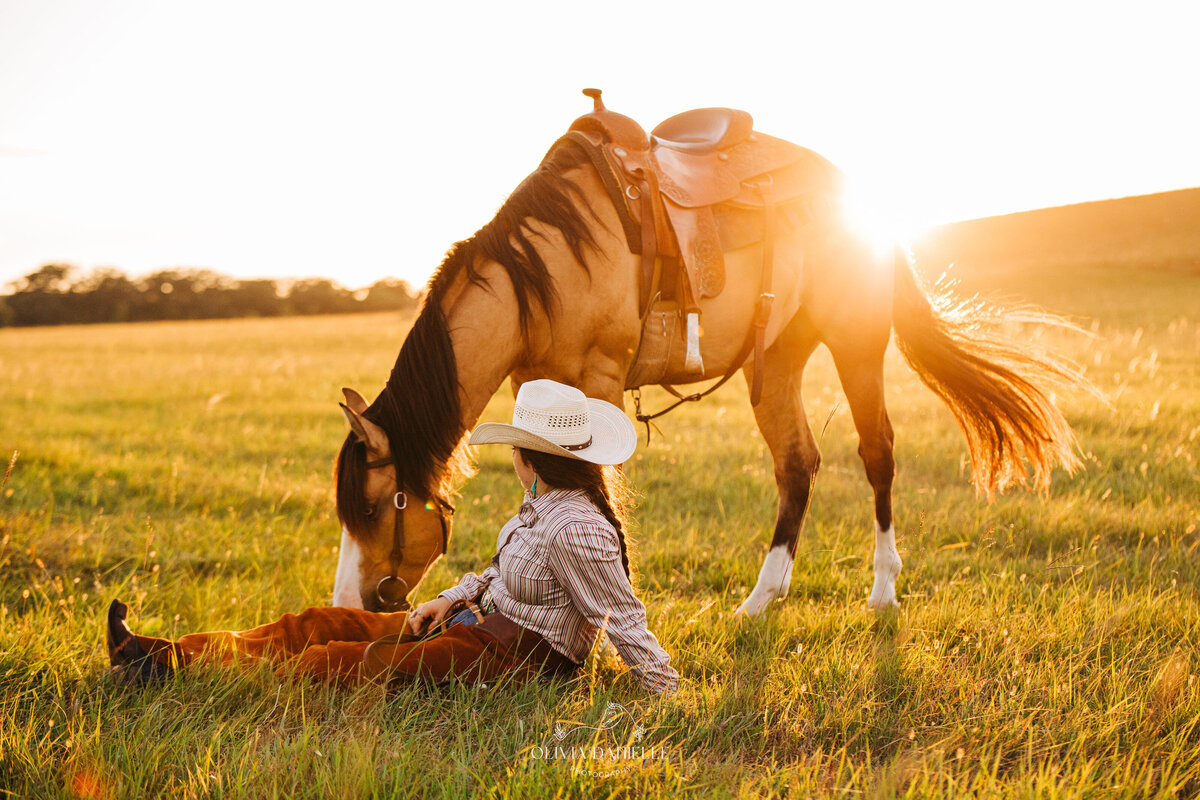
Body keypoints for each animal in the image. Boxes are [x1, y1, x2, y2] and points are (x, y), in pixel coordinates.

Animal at [331, 90, 1089, 618]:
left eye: (376, 507)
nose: (348, 604)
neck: (545, 271)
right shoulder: (538, 386)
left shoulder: (599, 377)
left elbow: (599, 490)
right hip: (775, 360)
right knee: (797, 463)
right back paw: (762, 598)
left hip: (856, 342)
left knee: (877, 452)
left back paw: (881, 590)